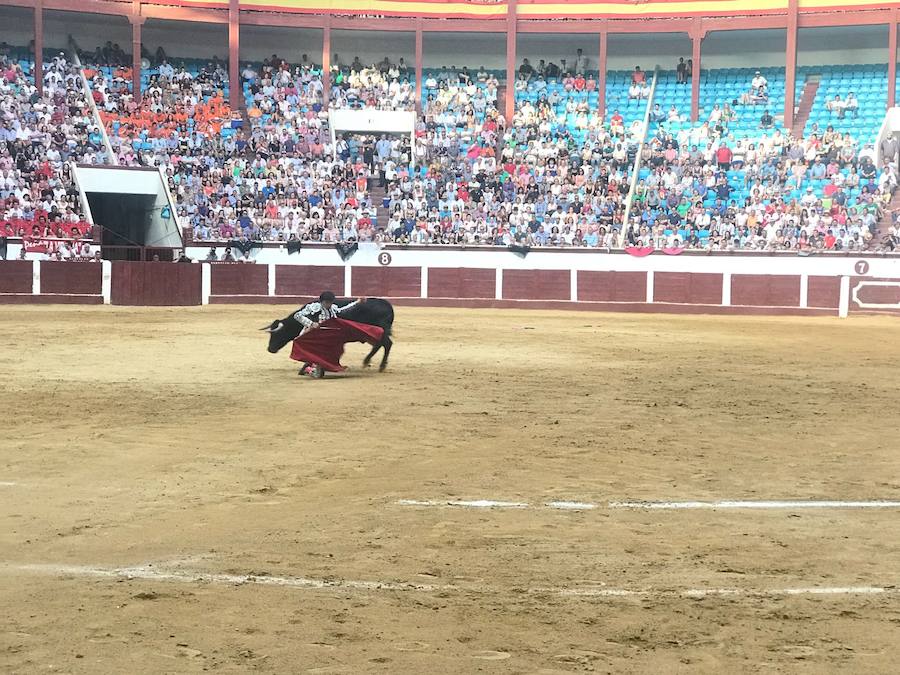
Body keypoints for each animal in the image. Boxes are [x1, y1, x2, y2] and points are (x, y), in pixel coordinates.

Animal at [264, 298, 398, 372]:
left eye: (277, 334)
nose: (270, 349)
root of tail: (388, 306)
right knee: (380, 345)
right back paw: (369, 362)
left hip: (380, 332)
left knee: (387, 344)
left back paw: (379, 365)